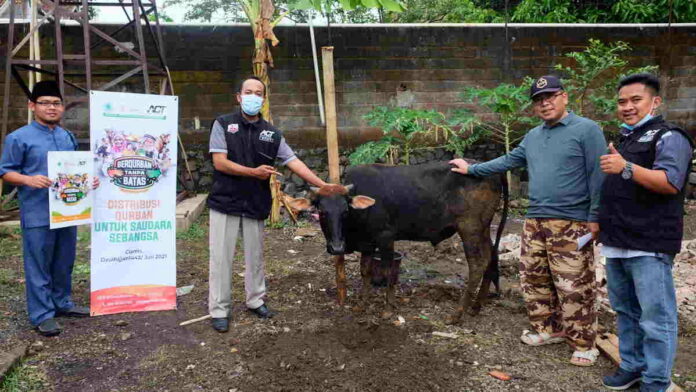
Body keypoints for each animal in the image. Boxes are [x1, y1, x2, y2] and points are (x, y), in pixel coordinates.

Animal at [290, 161, 508, 324]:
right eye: (322, 211)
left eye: (345, 211)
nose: (337, 247)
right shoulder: (367, 244)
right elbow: (365, 272)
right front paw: (362, 304)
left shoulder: (386, 237)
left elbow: (388, 271)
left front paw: (387, 309)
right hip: (483, 229)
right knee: (491, 257)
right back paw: (476, 307)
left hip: (470, 229)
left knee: (477, 265)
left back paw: (457, 313)